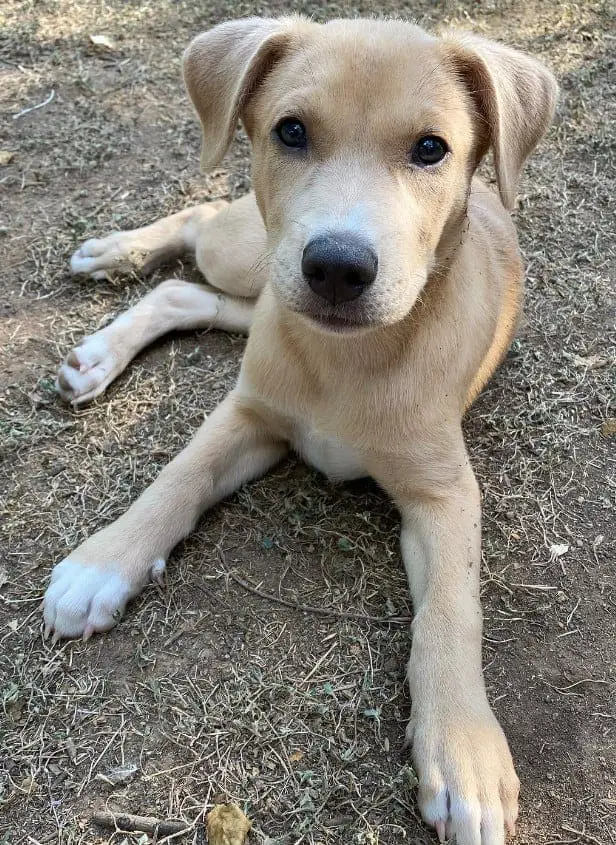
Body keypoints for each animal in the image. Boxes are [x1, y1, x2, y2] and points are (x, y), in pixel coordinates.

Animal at [45, 16, 560, 840]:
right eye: (290, 130)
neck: (346, 361)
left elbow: (452, 609)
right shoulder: (249, 412)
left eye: (431, 149)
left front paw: (466, 753)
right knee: (199, 222)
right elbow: (177, 478)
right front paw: (105, 561)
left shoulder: (445, 494)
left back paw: (98, 353)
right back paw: (113, 254)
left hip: (260, 290)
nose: (338, 268)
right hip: (254, 256)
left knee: (188, 295)